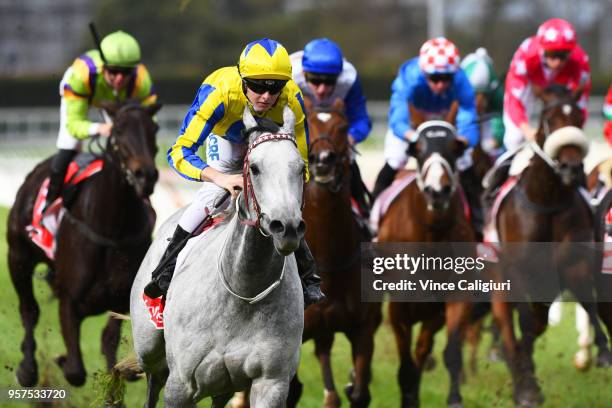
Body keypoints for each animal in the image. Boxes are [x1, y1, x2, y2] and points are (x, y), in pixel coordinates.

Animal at [7, 100, 160, 388]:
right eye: (118, 130)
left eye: (154, 129)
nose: (145, 175)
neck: (111, 230)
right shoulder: (68, 299)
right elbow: (75, 372)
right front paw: (59, 360)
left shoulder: (120, 300)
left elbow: (110, 348)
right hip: (18, 257)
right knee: (29, 310)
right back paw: (27, 369)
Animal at [130, 106, 306, 408]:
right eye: (255, 168)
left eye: (301, 168)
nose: (287, 228)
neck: (243, 291)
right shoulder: (180, 385)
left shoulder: (271, 382)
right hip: (149, 350)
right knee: (153, 380)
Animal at [286, 99, 382, 408]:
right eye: (307, 123)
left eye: (342, 127)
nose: (323, 160)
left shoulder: (363, 328)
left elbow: (359, 393)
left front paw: (352, 385)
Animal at [378, 118, 478, 408]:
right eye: (418, 150)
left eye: (455, 149)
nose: (437, 191)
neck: (431, 235)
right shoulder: (399, 306)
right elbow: (406, 364)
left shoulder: (450, 300)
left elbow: (447, 351)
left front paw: (454, 398)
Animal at [492, 84, 612, 406]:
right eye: (548, 117)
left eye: (579, 117)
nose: (570, 167)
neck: (547, 202)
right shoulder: (517, 272)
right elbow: (523, 324)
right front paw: (525, 387)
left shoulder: (573, 265)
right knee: (505, 322)